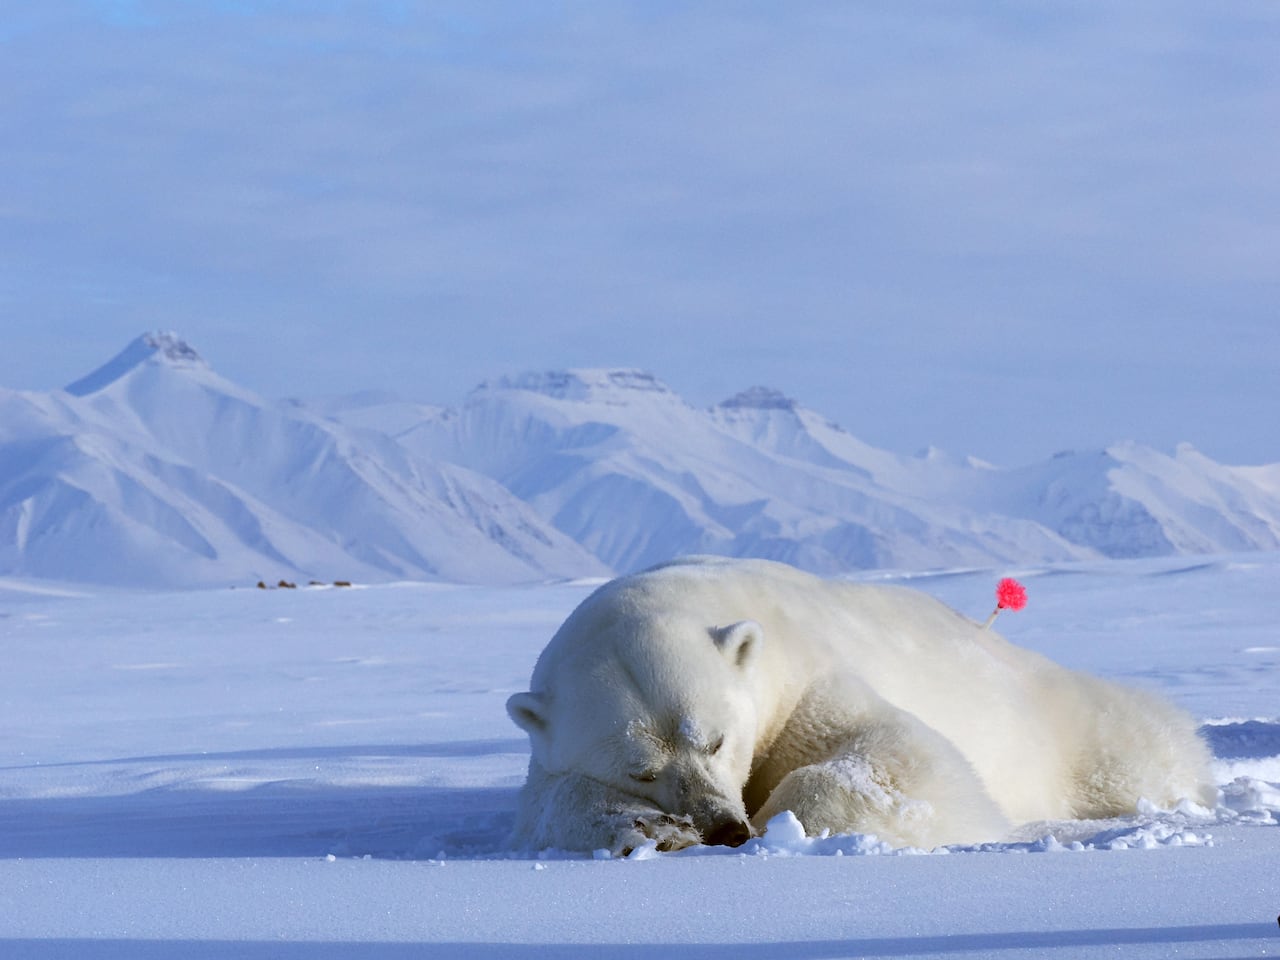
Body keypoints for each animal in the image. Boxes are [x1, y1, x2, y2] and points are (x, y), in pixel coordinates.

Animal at [507, 556, 1215, 855]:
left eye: (716, 739)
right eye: (642, 770)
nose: (725, 828)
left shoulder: (806, 677)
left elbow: (897, 755)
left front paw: (779, 821)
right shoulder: (547, 747)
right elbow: (549, 801)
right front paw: (650, 828)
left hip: (1066, 722)